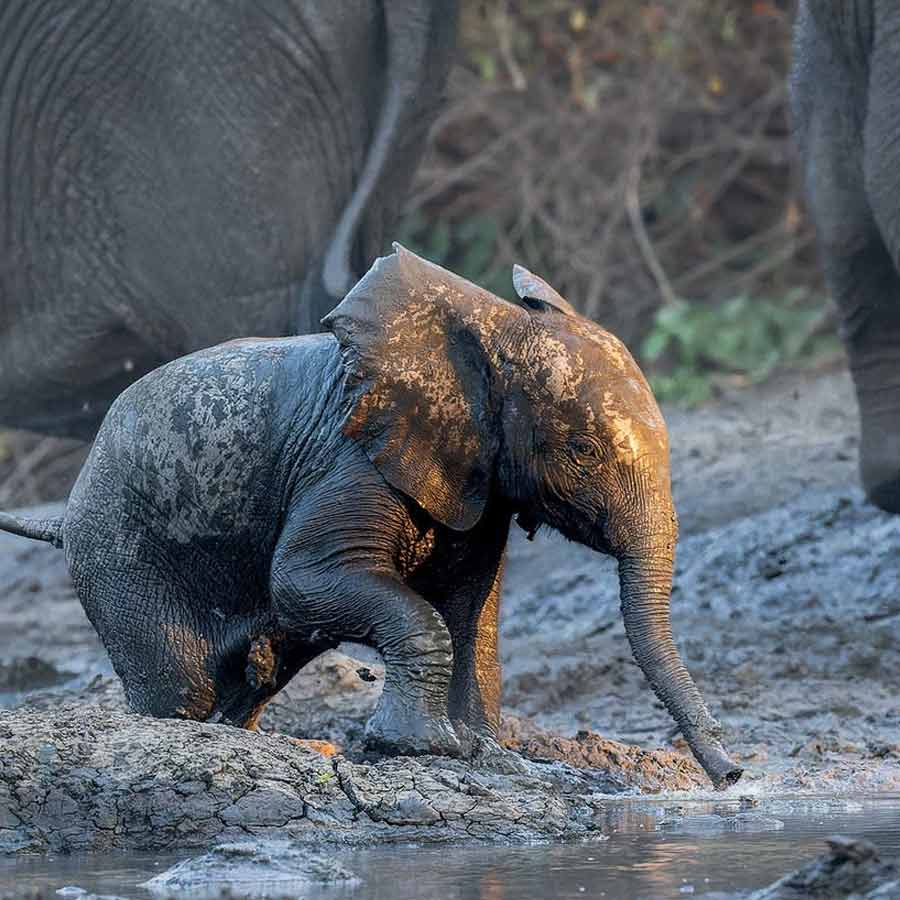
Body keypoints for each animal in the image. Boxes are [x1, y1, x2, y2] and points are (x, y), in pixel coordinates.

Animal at [0, 246, 743, 788]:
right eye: (583, 451)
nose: (733, 775)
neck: (492, 328)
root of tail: (67, 505)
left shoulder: (476, 480)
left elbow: (472, 609)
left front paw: (487, 758)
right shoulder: (349, 460)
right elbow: (303, 582)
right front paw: (416, 747)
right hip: (117, 546)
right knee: (179, 684)